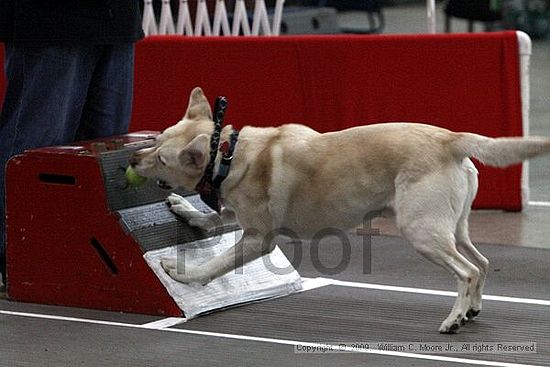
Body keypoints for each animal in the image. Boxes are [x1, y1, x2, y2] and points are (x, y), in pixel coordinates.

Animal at [133, 87, 550, 334]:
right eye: (156, 140)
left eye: (162, 158)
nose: (134, 159)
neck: (228, 155)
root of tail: (450, 138)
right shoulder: (240, 216)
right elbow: (213, 217)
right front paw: (185, 209)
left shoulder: (258, 239)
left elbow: (215, 264)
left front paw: (183, 275)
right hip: (453, 228)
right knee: (481, 263)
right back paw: (471, 311)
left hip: (422, 231)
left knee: (466, 272)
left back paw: (452, 320)